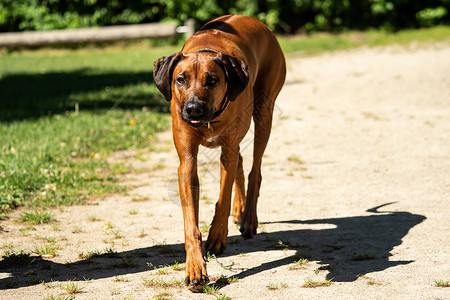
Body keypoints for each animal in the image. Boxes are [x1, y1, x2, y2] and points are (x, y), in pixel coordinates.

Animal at [154, 15, 284, 292]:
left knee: (255, 169)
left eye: (212, 80)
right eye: (180, 79)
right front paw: (195, 269)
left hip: (264, 111)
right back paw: (240, 209)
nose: (193, 109)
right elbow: (191, 222)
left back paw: (248, 218)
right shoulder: (187, 161)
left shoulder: (227, 151)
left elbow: (222, 198)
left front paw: (217, 235)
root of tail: (256, 21)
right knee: (243, 163)